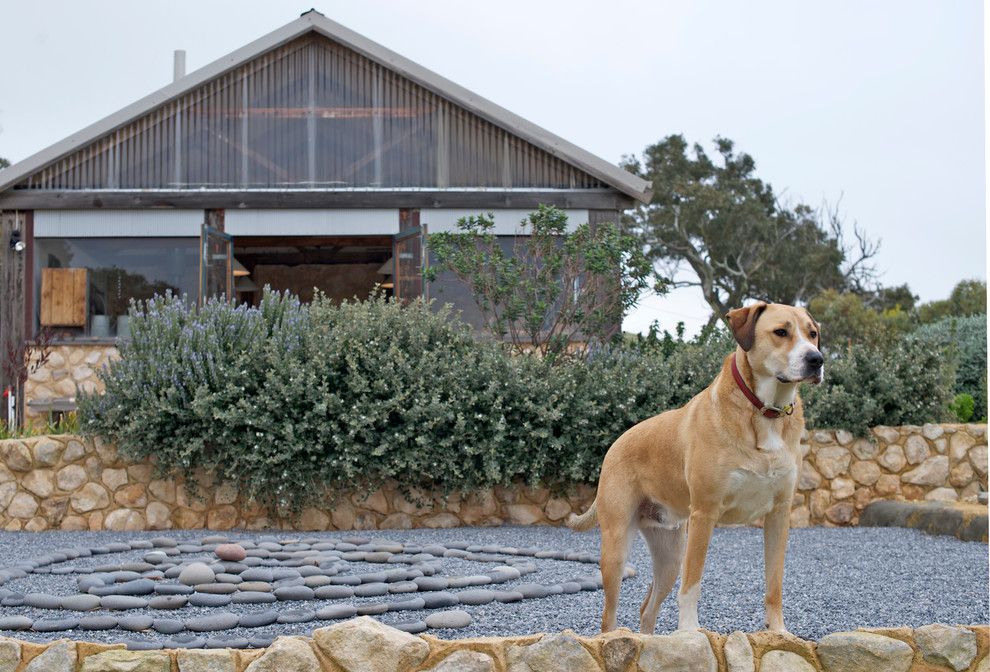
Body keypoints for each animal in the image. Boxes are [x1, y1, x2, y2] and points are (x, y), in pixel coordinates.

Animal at [568, 302, 824, 632]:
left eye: (812, 333)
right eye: (781, 332)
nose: (816, 359)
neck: (764, 412)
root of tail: (615, 444)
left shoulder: (779, 514)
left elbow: (774, 583)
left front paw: (779, 633)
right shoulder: (705, 513)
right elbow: (692, 584)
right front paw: (690, 632)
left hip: (670, 555)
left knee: (646, 609)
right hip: (616, 550)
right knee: (608, 616)